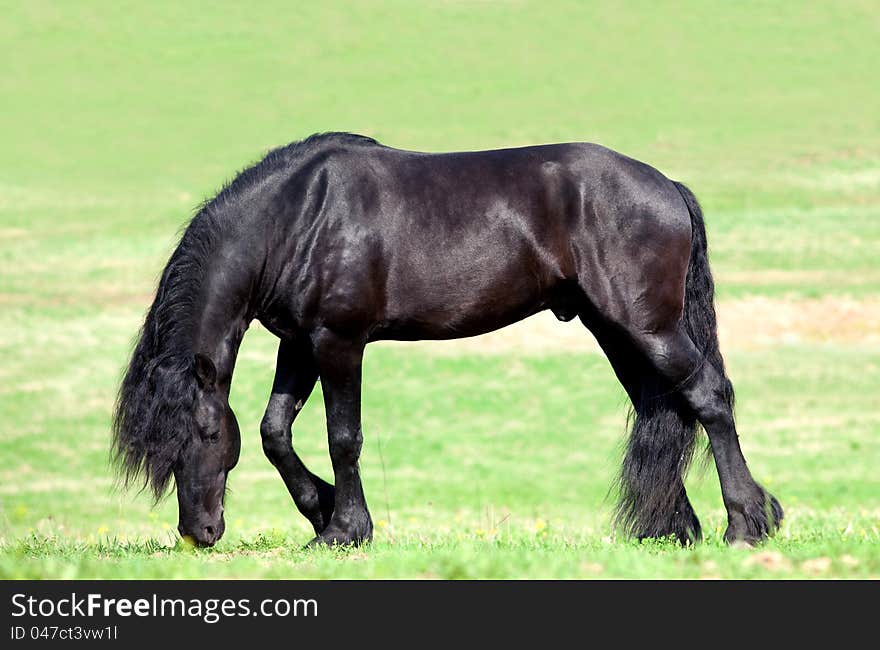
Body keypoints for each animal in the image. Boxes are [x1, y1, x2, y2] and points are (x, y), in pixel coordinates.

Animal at [111, 132, 784, 548]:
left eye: (201, 435)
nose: (198, 533)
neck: (298, 215)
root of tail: (667, 186)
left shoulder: (339, 343)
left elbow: (343, 437)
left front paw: (347, 529)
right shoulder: (299, 344)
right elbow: (276, 432)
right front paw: (321, 512)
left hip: (648, 325)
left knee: (709, 397)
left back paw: (747, 524)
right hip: (616, 329)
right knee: (662, 407)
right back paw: (671, 527)